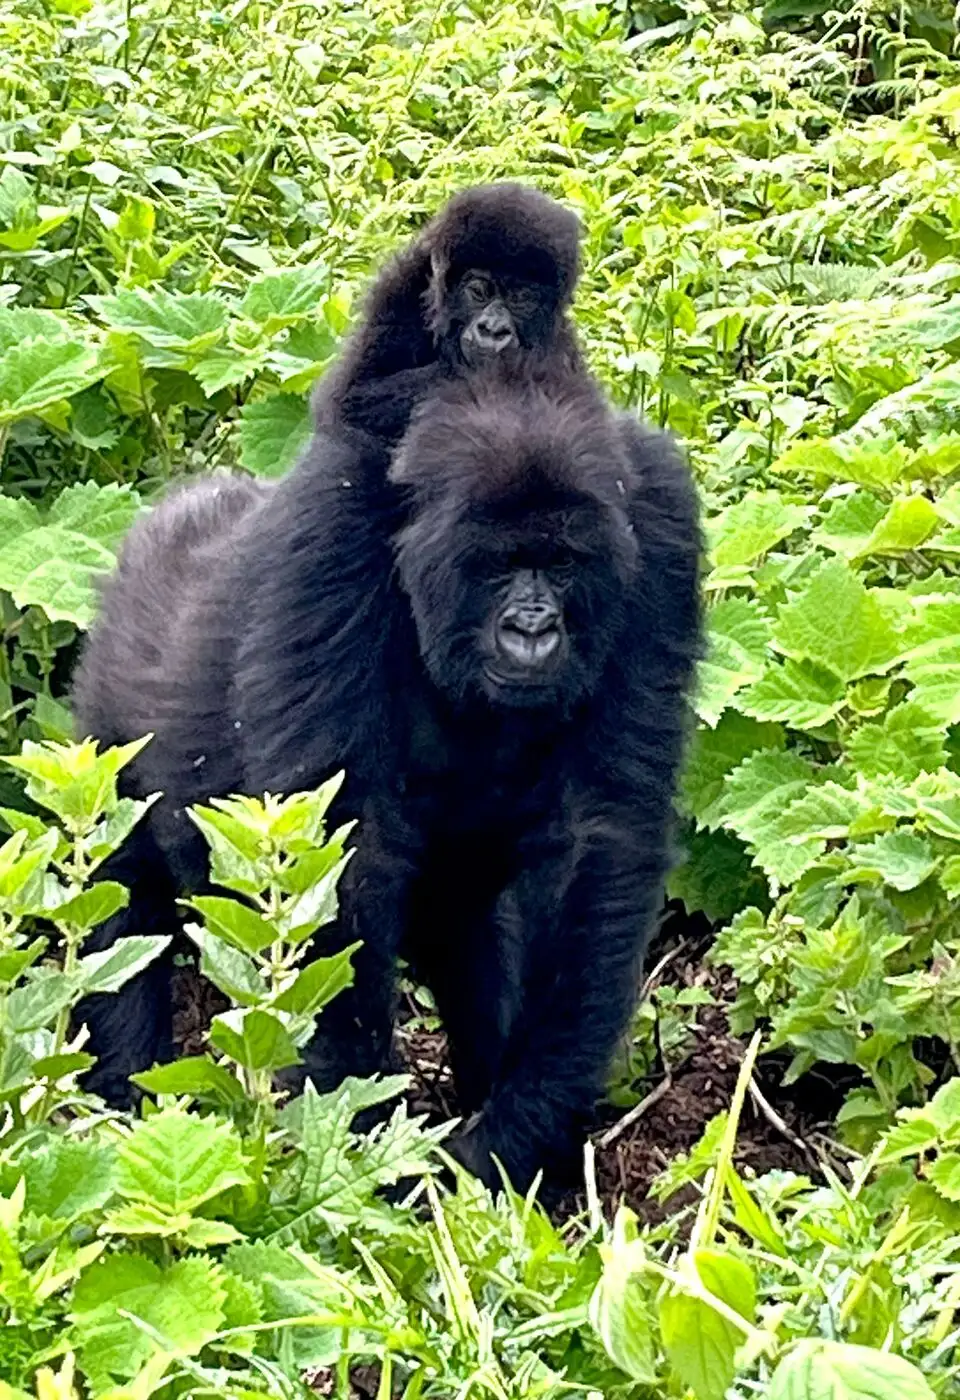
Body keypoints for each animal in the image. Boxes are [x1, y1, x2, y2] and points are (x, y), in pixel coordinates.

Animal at [71, 364, 702, 1192]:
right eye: (498, 565)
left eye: (562, 564)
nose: (533, 628)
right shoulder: (332, 527)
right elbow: (339, 844)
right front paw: (359, 1134)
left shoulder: (660, 524)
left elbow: (600, 837)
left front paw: (523, 1130)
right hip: (102, 741)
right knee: (120, 912)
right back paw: (122, 1095)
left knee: (471, 936)